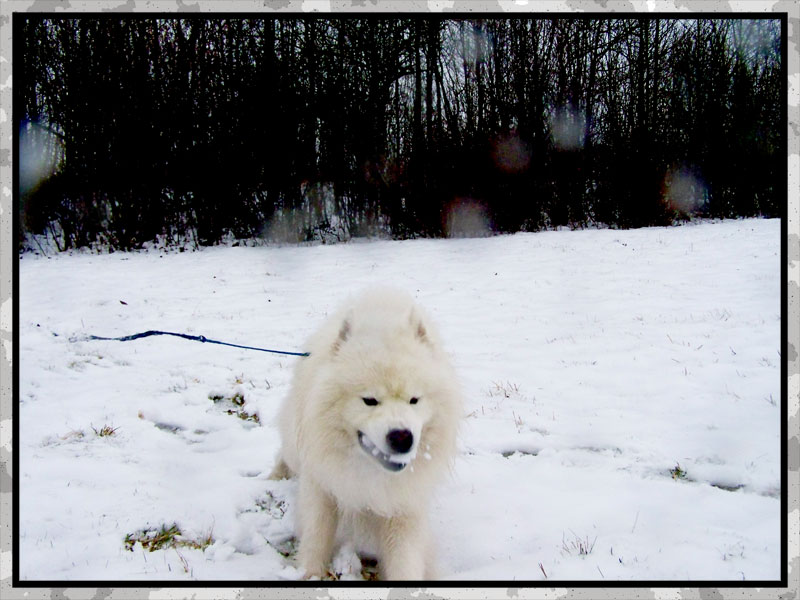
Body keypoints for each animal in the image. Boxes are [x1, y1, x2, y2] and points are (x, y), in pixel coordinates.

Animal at [268, 288, 460, 580]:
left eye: (414, 400)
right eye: (369, 400)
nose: (402, 437)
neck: (369, 472)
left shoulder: (403, 504)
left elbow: (405, 557)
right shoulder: (321, 484)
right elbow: (317, 534)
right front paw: (309, 574)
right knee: (285, 453)